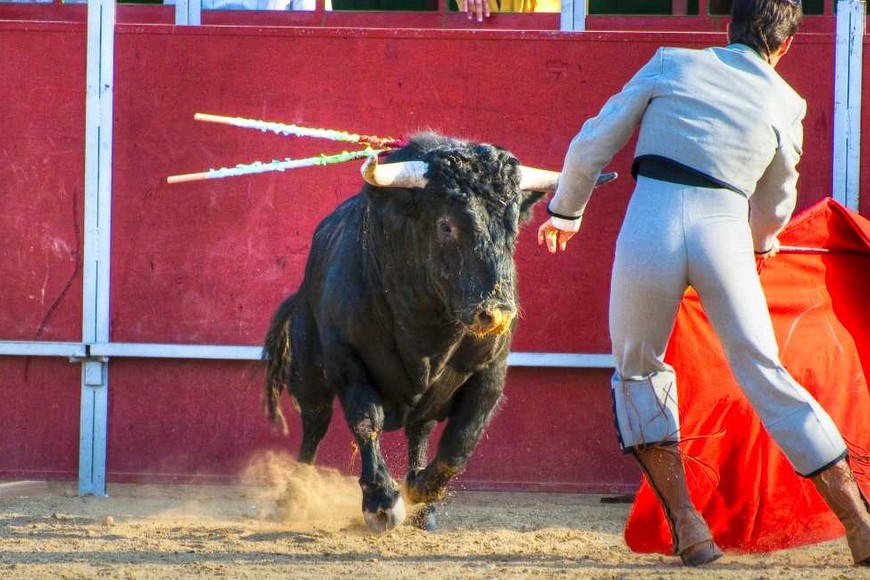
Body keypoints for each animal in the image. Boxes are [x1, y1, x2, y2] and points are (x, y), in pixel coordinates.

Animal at [262, 134, 616, 532]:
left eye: (512, 228)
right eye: (446, 226)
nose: (496, 313)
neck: (428, 329)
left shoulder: (491, 373)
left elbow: (460, 442)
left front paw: (418, 489)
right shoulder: (347, 360)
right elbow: (366, 421)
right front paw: (381, 501)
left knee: (420, 430)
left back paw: (423, 509)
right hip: (309, 370)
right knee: (315, 423)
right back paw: (293, 498)